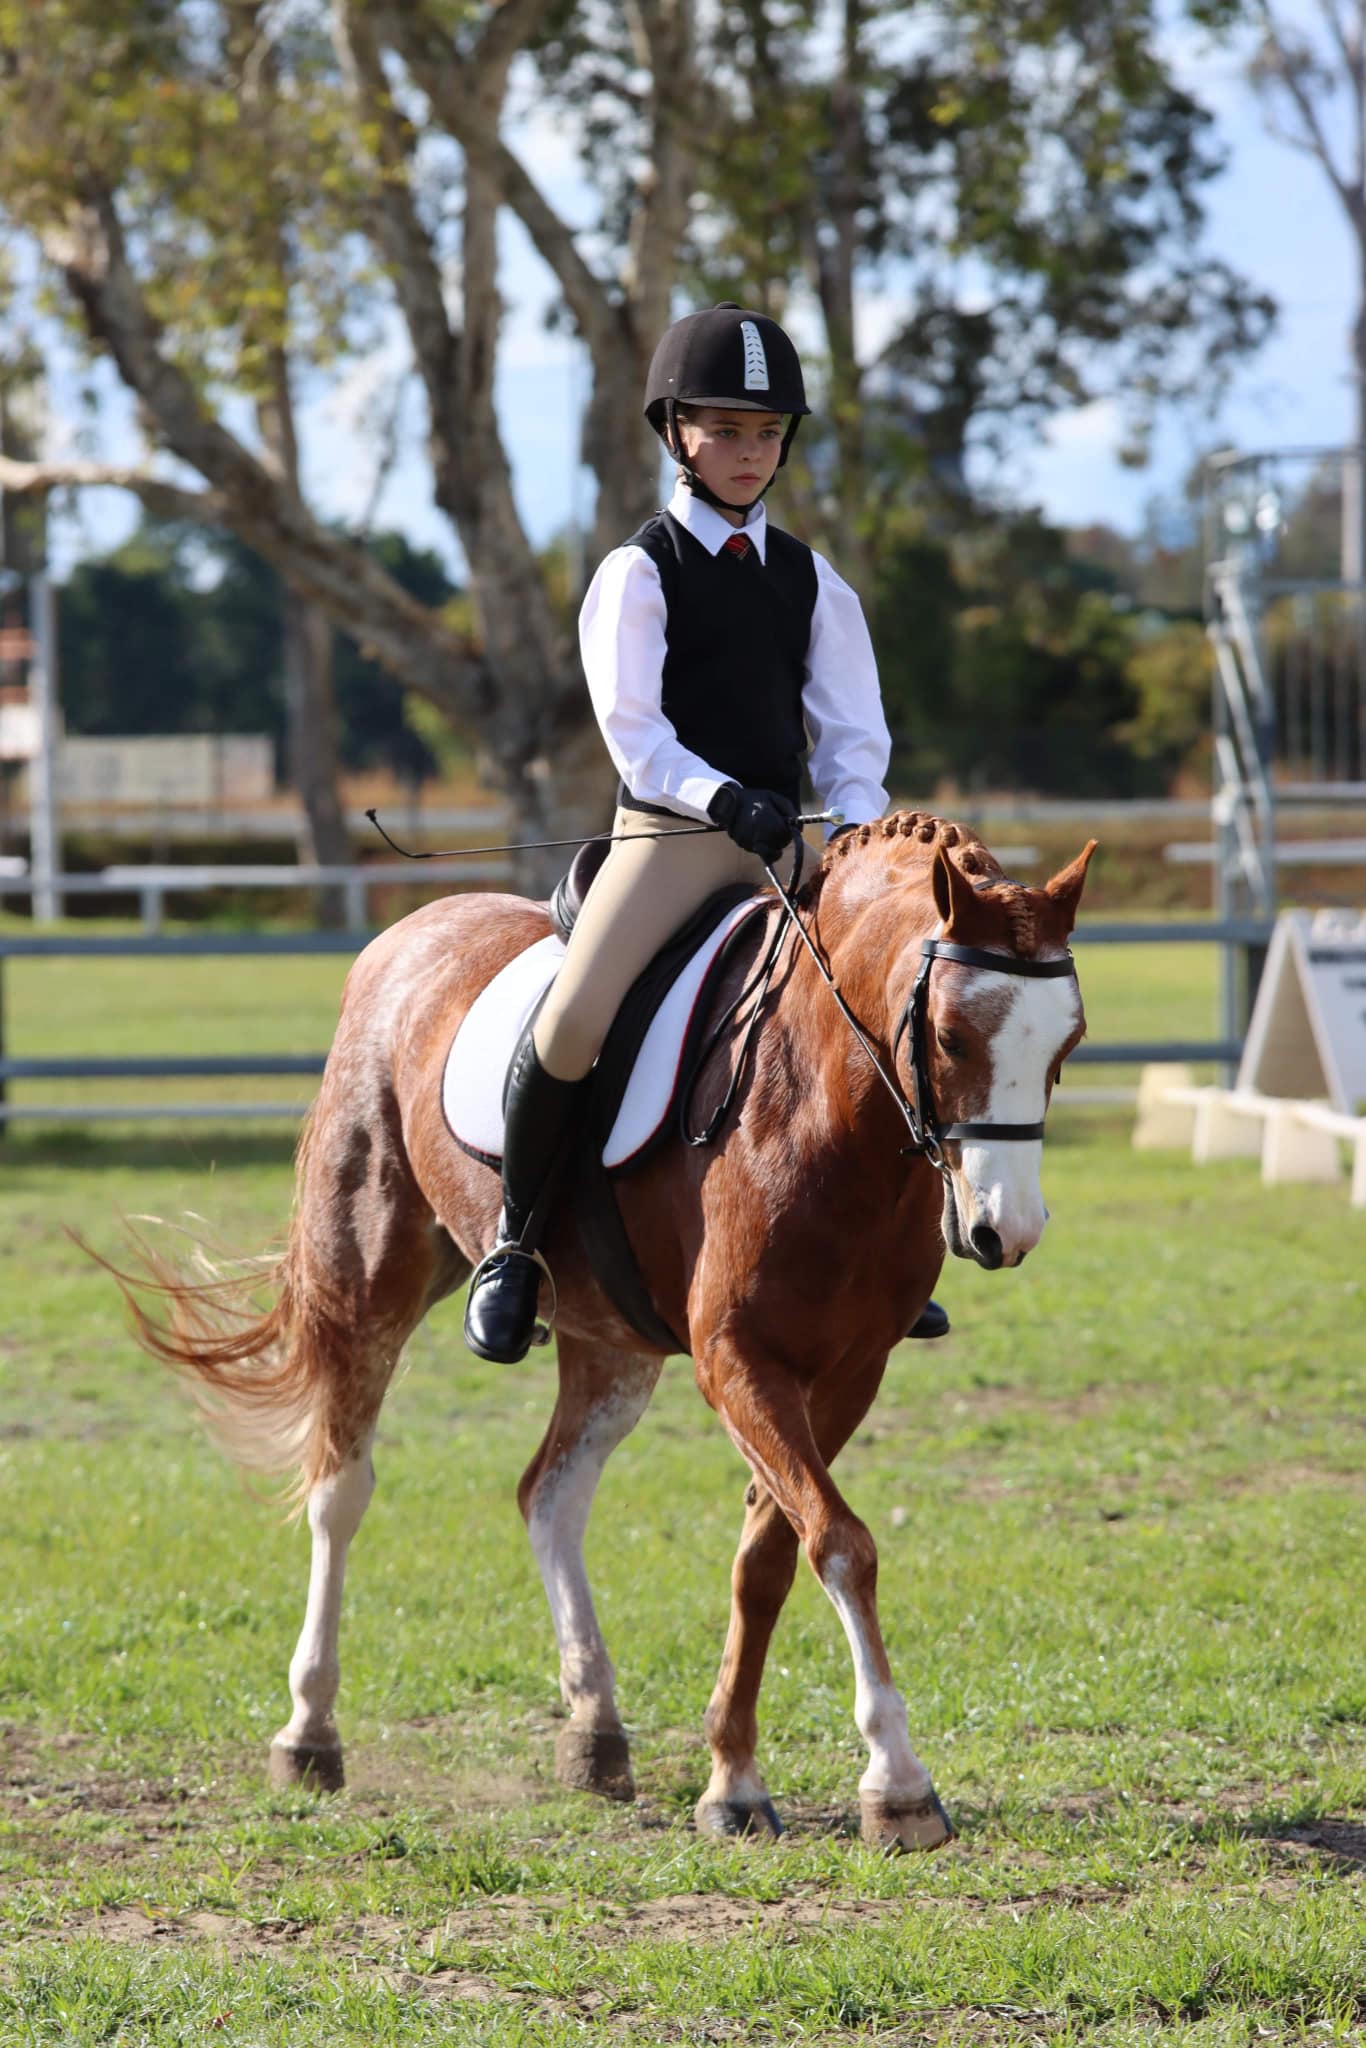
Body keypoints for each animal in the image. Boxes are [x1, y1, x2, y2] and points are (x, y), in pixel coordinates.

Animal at [111, 810, 1095, 1852]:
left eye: (1068, 1040)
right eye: (949, 1034)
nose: (1006, 1232)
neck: (826, 1107)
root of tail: (406, 938)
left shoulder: (845, 1370)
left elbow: (772, 1554)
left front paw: (733, 1778)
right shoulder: (737, 1362)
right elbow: (839, 1542)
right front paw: (897, 1782)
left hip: (609, 1342)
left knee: (550, 1493)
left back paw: (595, 1731)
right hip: (368, 1285)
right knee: (340, 1492)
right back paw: (309, 1733)